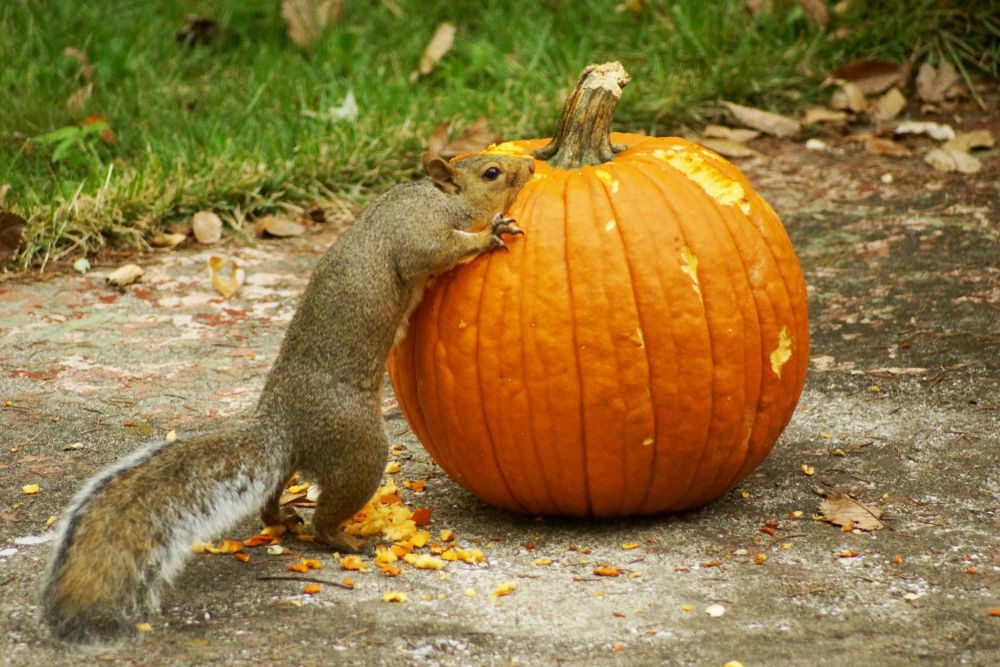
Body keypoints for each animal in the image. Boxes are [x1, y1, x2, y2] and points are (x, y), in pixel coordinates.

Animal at [41, 153, 535, 646]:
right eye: (492, 172)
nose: (531, 165)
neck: (435, 197)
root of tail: (282, 426)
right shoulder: (417, 230)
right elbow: (437, 251)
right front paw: (490, 233)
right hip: (357, 446)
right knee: (326, 518)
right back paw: (346, 539)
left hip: (295, 463)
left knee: (270, 497)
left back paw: (281, 518)